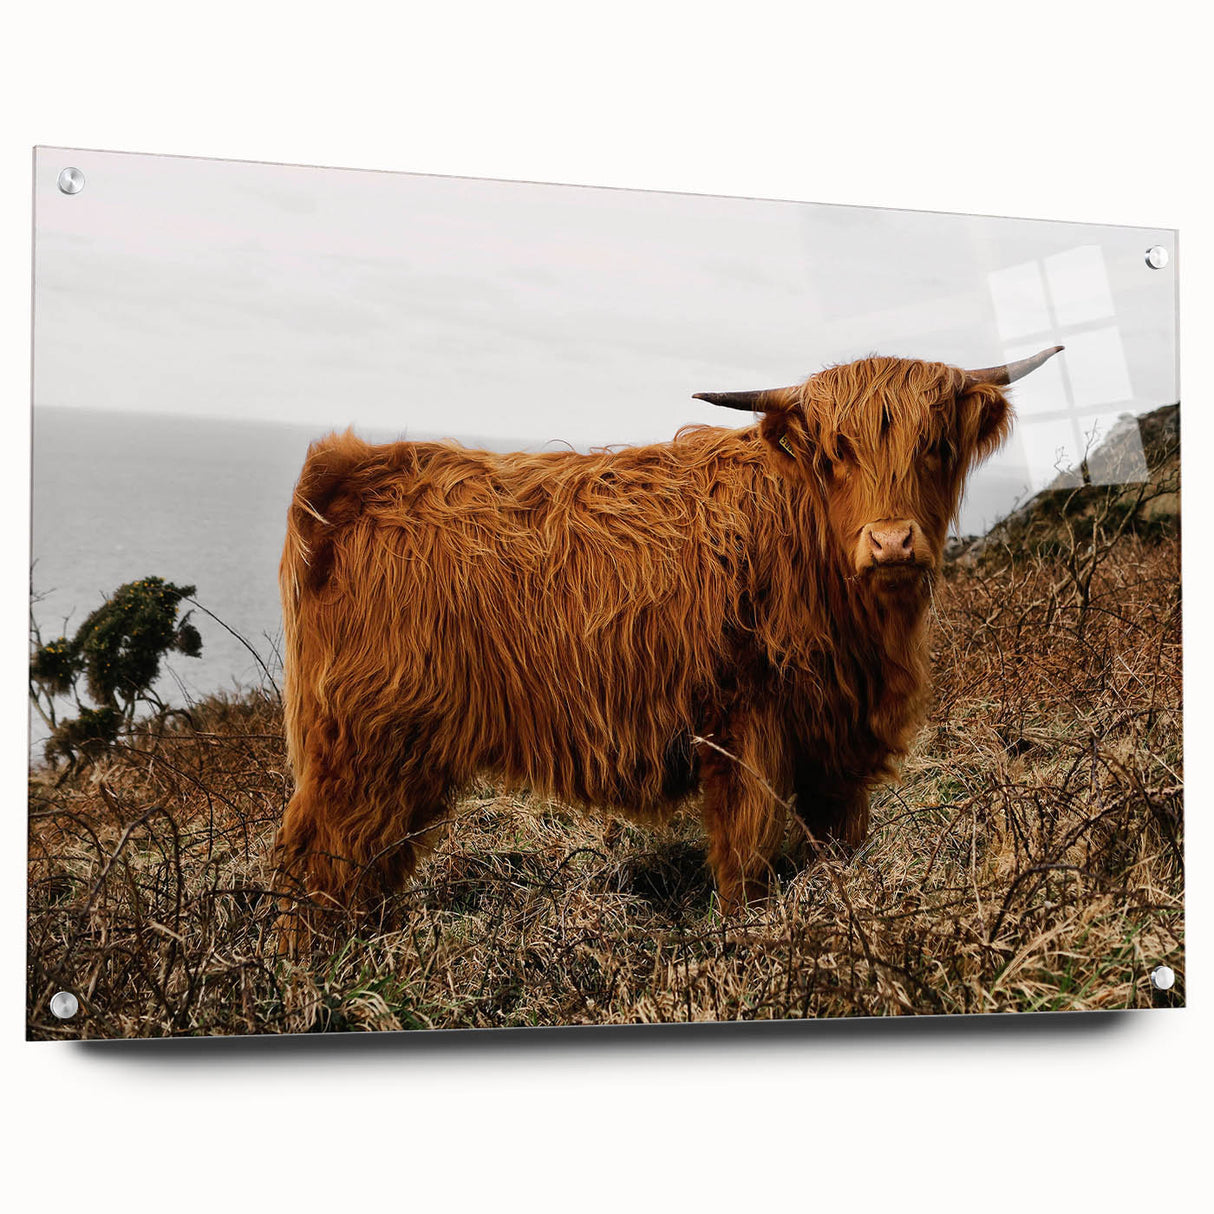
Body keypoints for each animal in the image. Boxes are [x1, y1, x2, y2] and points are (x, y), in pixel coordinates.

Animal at [273, 346, 1062, 928]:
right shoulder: (744, 725)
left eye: (937, 446)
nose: (892, 541)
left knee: (368, 863)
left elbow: (836, 842)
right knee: (319, 858)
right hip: (363, 742)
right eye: (837, 452)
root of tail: (352, 471)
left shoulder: (834, 744)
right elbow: (746, 854)